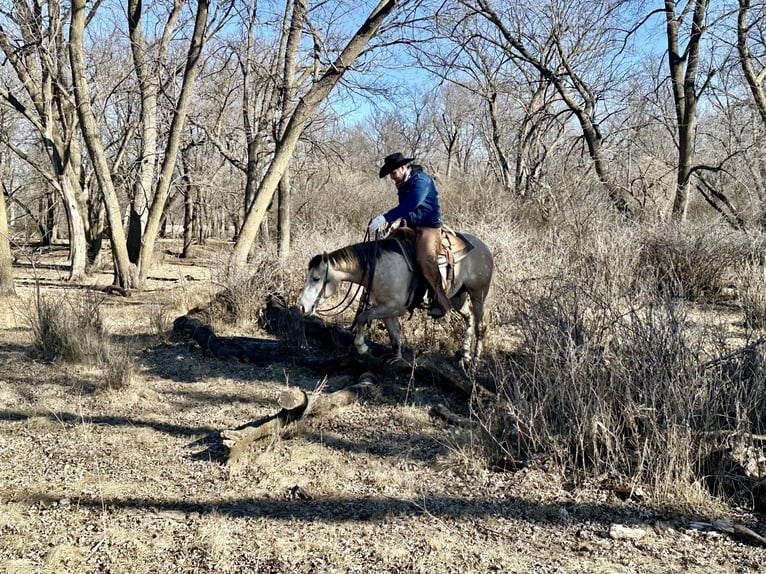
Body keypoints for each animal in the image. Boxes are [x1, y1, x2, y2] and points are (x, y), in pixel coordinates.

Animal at [296, 231, 496, 362]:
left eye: (316, 278)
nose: (302, 306)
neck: (377, 266)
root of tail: (483, 246)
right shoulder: (386, 309)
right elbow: (394, 335)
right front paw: (397, 359)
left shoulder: (394, 307)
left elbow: (362, 316)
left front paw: (362, 347)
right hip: (457, 297)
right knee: (469, 318)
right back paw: (465, 354)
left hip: (478, 293)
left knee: (480, 324)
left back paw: (475, 360)